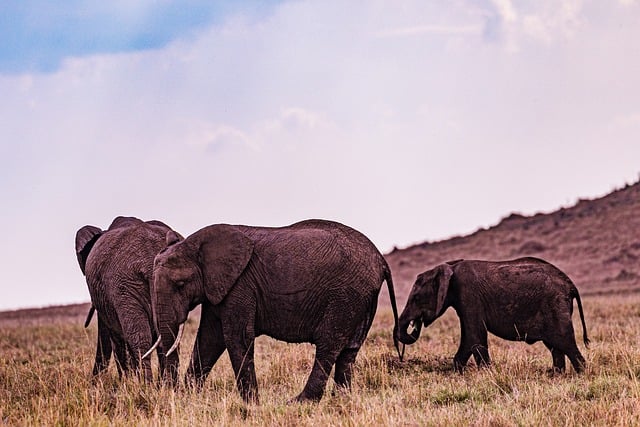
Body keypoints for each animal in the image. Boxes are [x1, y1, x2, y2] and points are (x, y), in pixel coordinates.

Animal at [74, 216, 182, 382]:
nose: (93, 382)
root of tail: (151, 259)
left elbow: (116, 338)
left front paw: (126, 382)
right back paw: (167, 385)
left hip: (124, 285)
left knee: (139, 337)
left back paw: (146, 385)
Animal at [145, 221, 400, 404]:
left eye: (181, 284)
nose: (171, 392)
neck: (196, 242)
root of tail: (381, 260)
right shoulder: (217, 288)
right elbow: (209, 339)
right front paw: (188, 397)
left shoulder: (240, 285)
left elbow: (236, 337)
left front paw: (252, 405)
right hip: (364, 297)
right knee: (350, 350)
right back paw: (341, 402)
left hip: (346, 296)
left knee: (329, 345)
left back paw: (300, 402)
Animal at [396, 258, 592, 374]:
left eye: (416, 298)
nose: (416, 323)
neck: (450, 267)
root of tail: (571, 285)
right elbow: (470, 337)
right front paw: (460, 373)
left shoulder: (469, 296)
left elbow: (474, 336)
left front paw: (486, 374)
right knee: (555, 346)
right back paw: (557, 376)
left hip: (555, 305)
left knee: (565, 341)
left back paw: (580, 374)